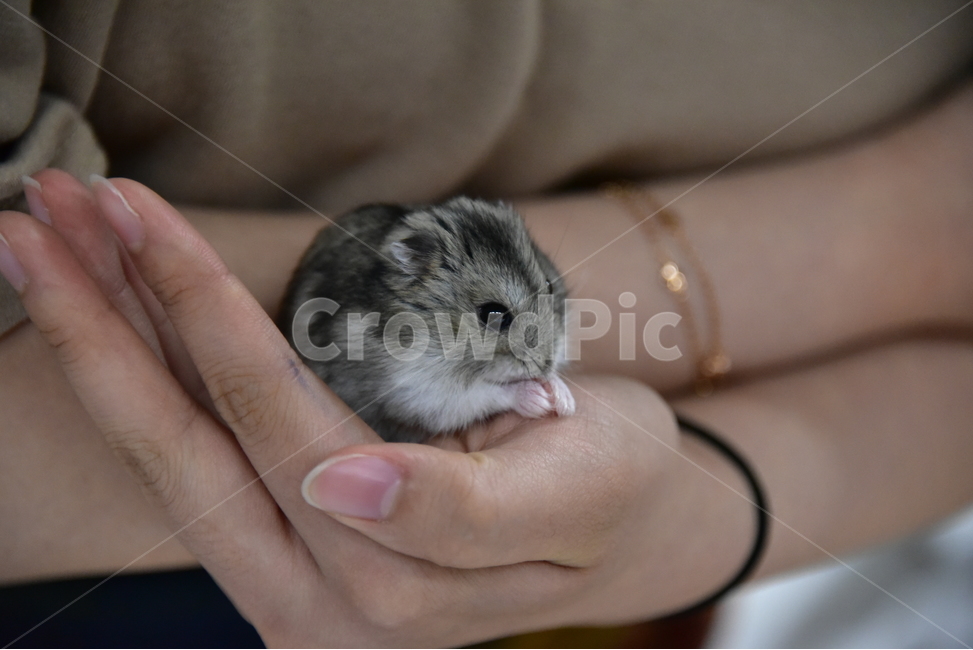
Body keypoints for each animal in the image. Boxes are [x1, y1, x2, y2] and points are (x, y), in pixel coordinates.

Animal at [277, 197, 575, 443]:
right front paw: (540, 399)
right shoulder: (418, 392)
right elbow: (486, 394)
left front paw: (563, 400)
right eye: (493, 314)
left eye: (549, 285)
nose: (546, 364)